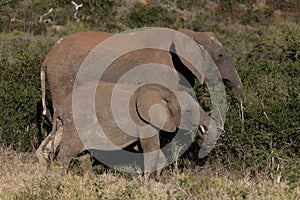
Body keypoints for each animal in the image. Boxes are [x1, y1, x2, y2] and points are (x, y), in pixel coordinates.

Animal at [37, 28, 241, 162]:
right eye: (220, 55)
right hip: (63, 79)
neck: (190, 34)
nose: (237, 86)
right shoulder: (163, 70)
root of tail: (46, 59)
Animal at [55, 82, 217, 179]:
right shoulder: (144, 120)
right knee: (67, 152)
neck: (164, 92)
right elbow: (150, 147)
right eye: (188, 110)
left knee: (83, 156)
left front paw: (157, 180)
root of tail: (61, 107)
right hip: (76, 122)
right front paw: (147, 182)